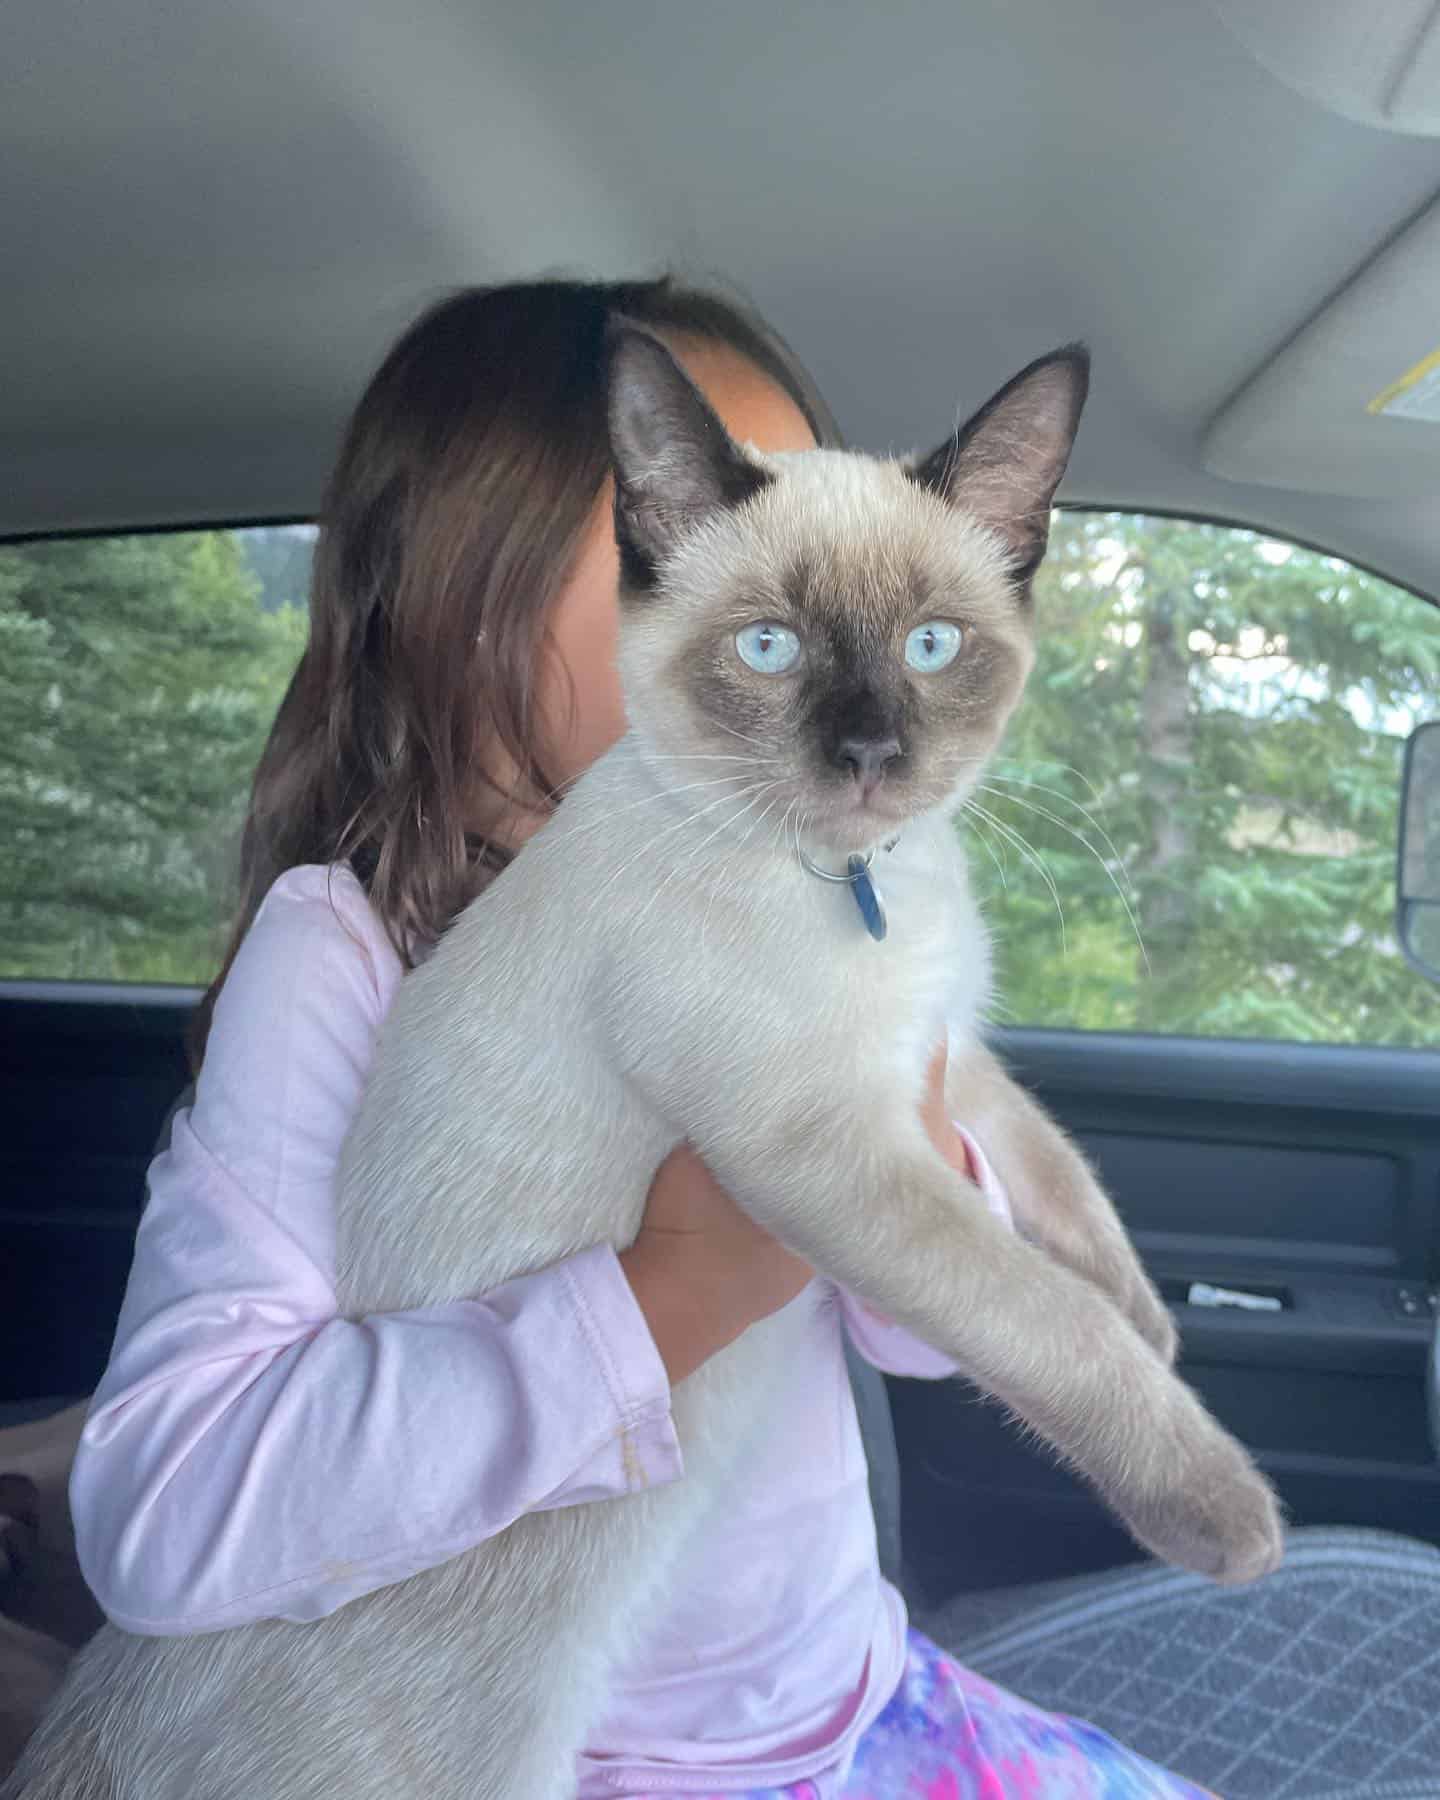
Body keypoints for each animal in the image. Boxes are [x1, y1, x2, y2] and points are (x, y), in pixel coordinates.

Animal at [5, 331, 1274, 1792]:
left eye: (933, 647)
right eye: (772, 650)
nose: (869, 754)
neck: (854, 884)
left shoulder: (938, 1053)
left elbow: (1063, 1187)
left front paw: (1161, 1323)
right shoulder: (826, 1154)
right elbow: (1051, 1324)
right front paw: (1232, 1516)